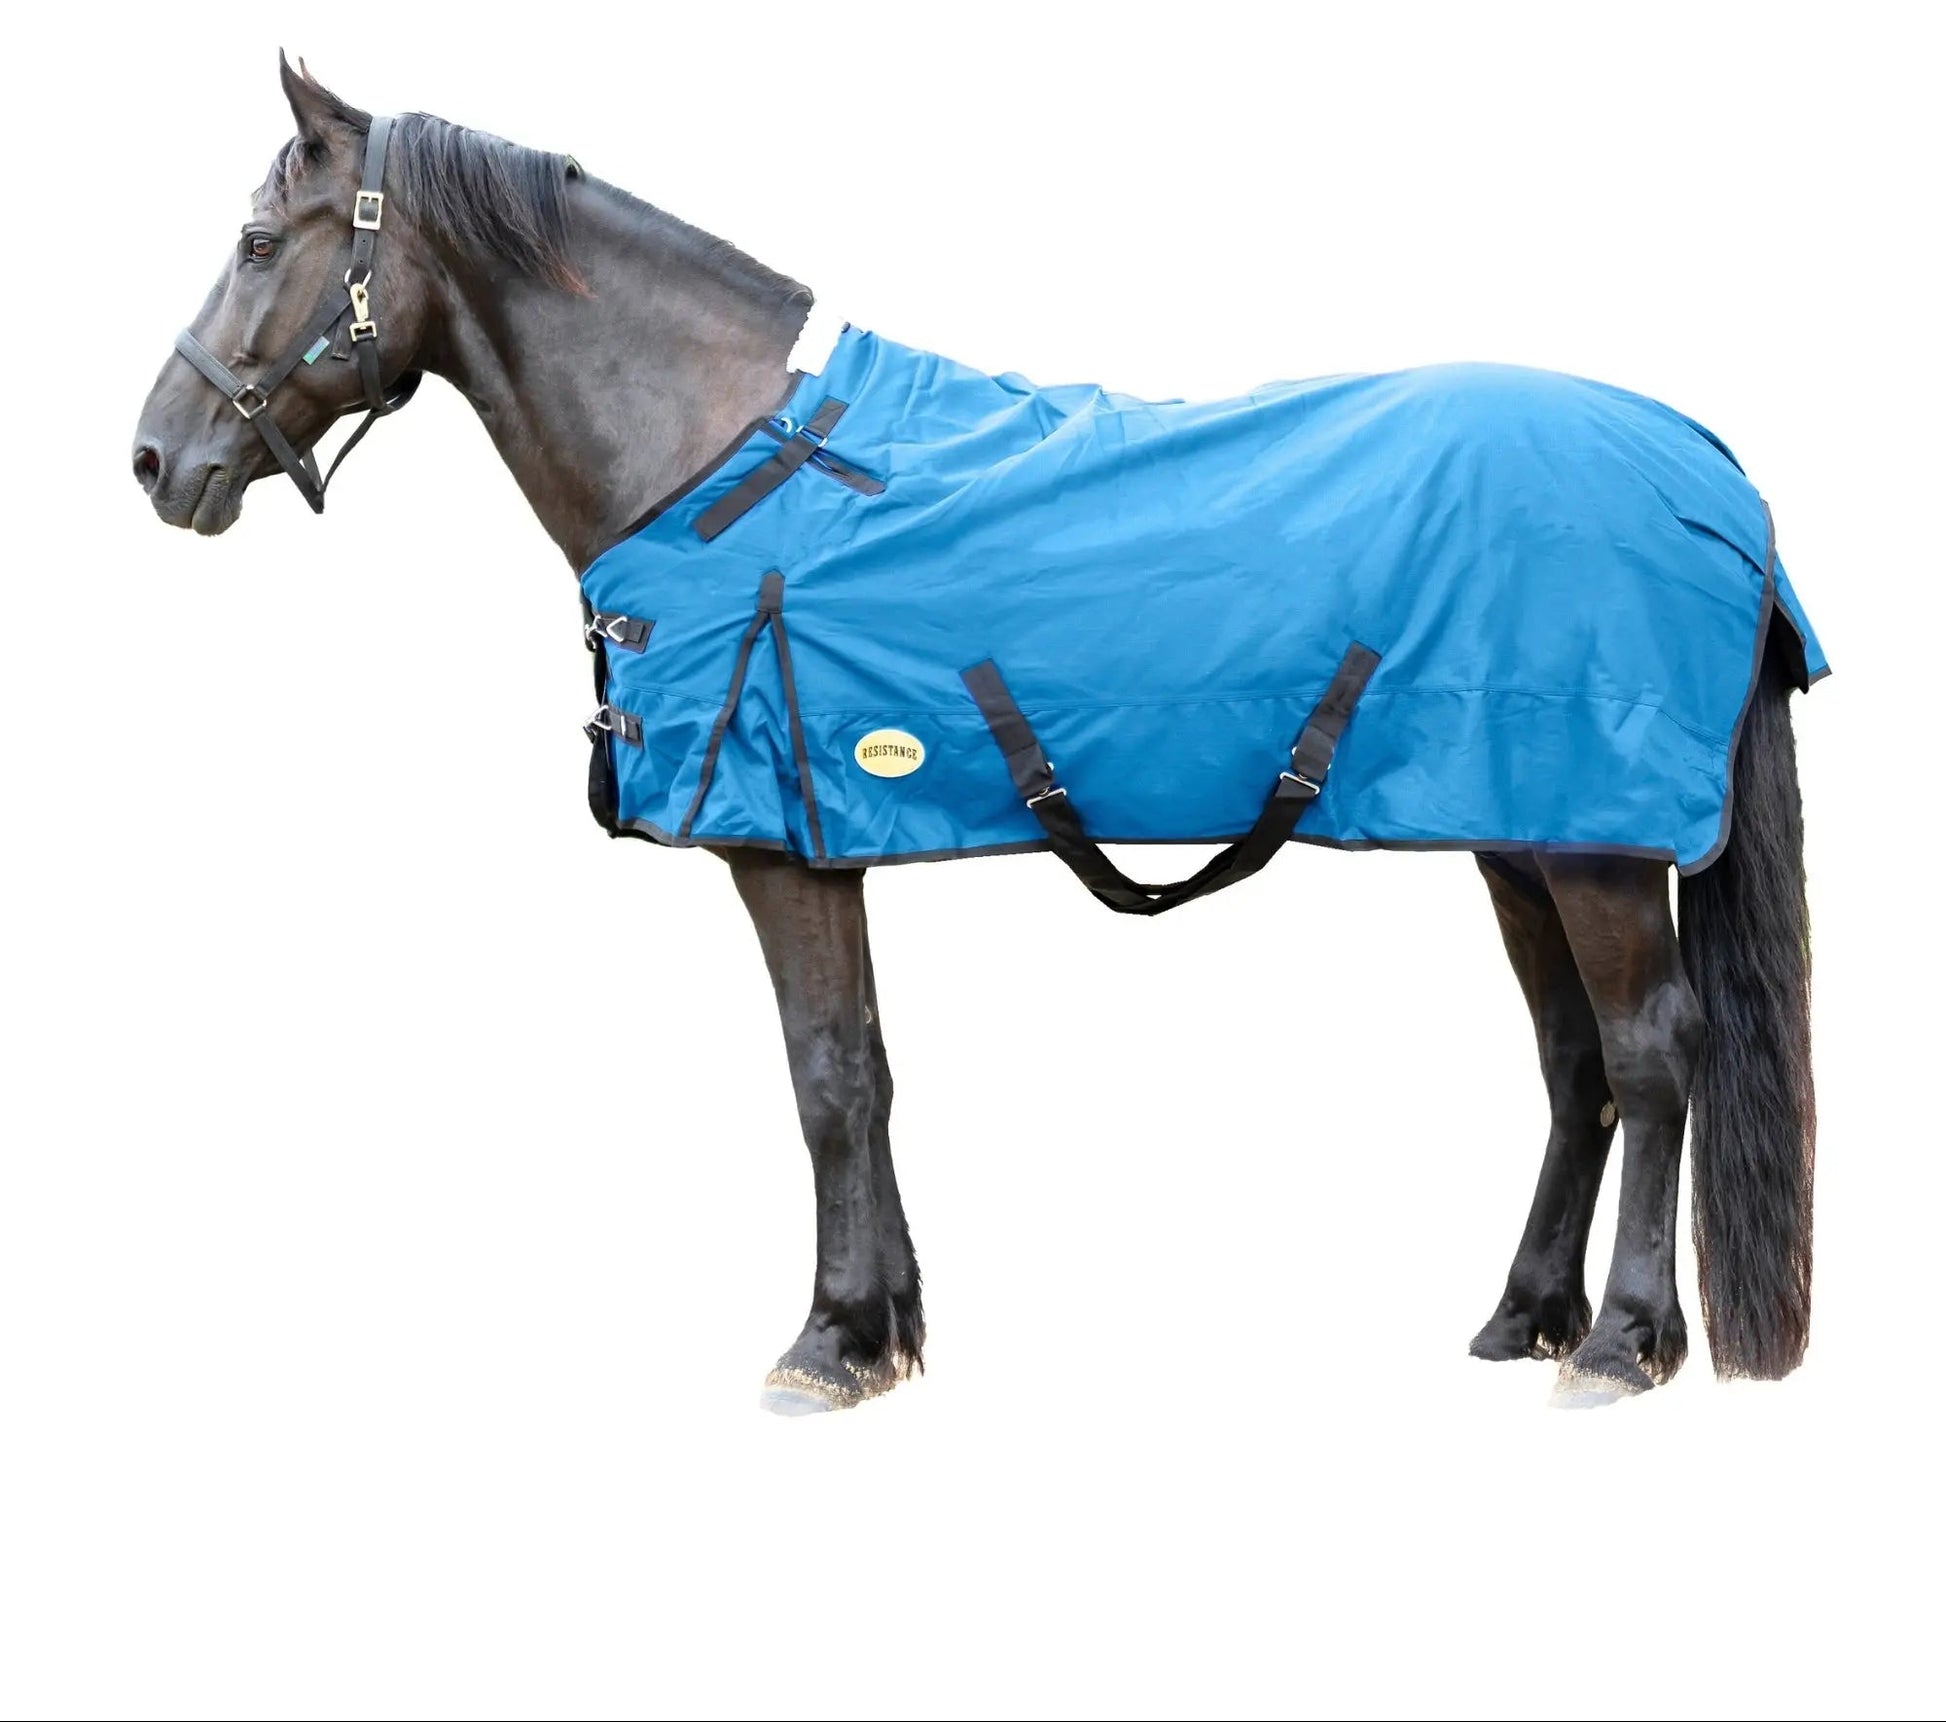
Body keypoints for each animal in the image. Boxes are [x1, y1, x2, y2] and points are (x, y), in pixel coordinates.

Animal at [131, 57, 1818, 1413]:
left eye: (257, 243)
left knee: (1650, 1054)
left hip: (1596, 846)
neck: (716, 453)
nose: (155, 456)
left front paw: (824, 1343)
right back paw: (1524, 1315)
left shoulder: (777, 848)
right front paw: (883, 1329)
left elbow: (822, 1076)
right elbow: (869, 1070)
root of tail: (1705, 462)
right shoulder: (826, 843)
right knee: (1572, 1059)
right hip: (1521, 832)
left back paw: (1621, 1342)